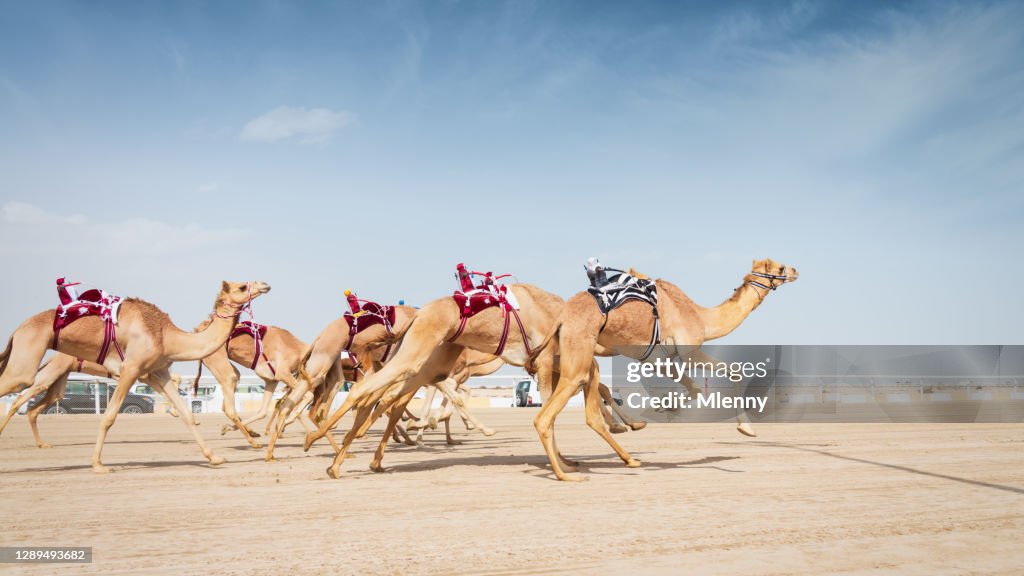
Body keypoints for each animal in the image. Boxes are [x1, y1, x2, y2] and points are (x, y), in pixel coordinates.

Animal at [0, 280, 271, 472]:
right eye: (241, 286)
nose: (265, 284)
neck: (166, 335)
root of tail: (17, 329)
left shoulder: (157, 372)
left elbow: (186, 414)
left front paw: (214, 457)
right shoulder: (131, 369)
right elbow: (109, 416)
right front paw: (98, 465)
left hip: (50, 374)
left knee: (37, 402)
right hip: (27, 363)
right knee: (16, 394)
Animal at [538, 258, 799, 480]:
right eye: (780, 267)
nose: (795, 270)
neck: (701, 318)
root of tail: (562, 317)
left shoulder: (657, 359)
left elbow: (695, 388)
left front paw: (667, 405)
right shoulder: (684, 352)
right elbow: (724, 376)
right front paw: (746, 429)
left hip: (571, 358)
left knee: (581, 408)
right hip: (577, 357)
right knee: (547, 416)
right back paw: (568, 473)